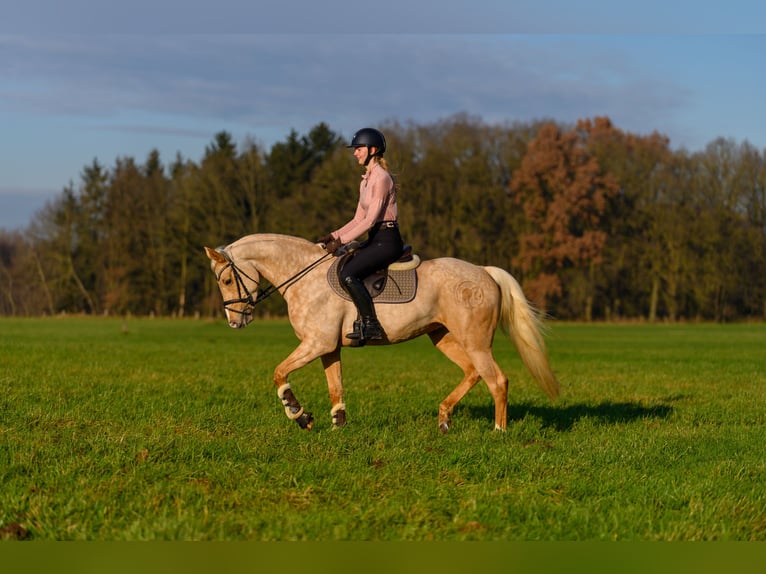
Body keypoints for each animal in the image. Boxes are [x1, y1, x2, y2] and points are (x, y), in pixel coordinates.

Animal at [206, 233, 560, 432]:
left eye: (226, 280)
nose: (235, 321)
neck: (304, 276)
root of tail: (484, 272)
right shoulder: (328, 347)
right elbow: (335, 386)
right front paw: (338, 424)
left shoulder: (316, 343)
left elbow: (279, 373)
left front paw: (299, 414)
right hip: (444, 337)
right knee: (473, 373)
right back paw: (444, 418)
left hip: (475, 342)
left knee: (497, 380)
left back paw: (499, 431)